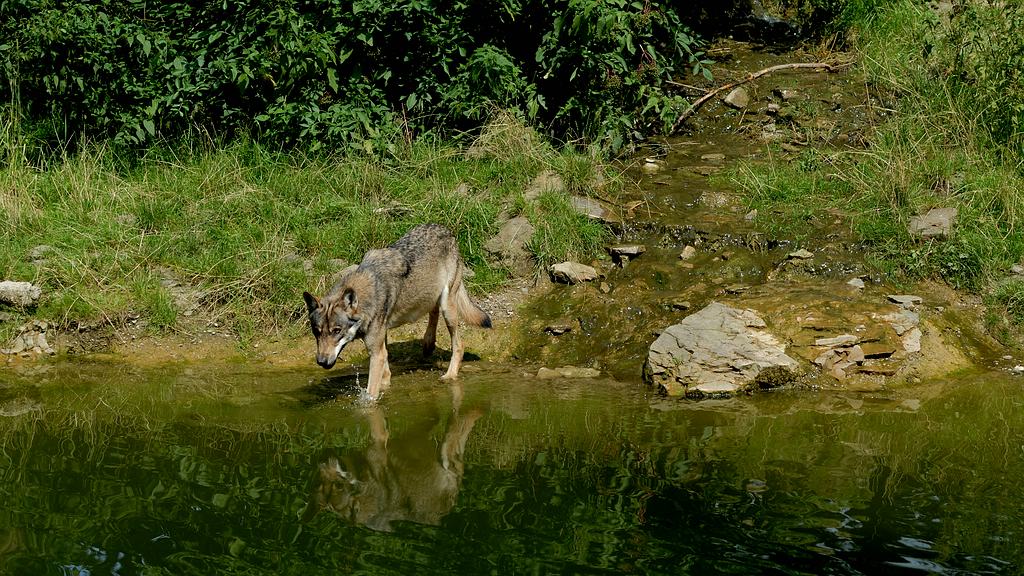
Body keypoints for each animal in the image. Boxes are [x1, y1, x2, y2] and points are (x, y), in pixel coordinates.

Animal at [302, 224, 492, 400]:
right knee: (433, 313)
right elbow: (385, 373)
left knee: (459, 344)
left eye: (336, 331)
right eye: (316, 332)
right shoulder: (380, 346)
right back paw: (428, 343)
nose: (321, 361)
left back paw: (450, 375)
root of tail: (446, 230)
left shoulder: (376, 352)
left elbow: (371, 394)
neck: (370, 293)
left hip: (448, 308)